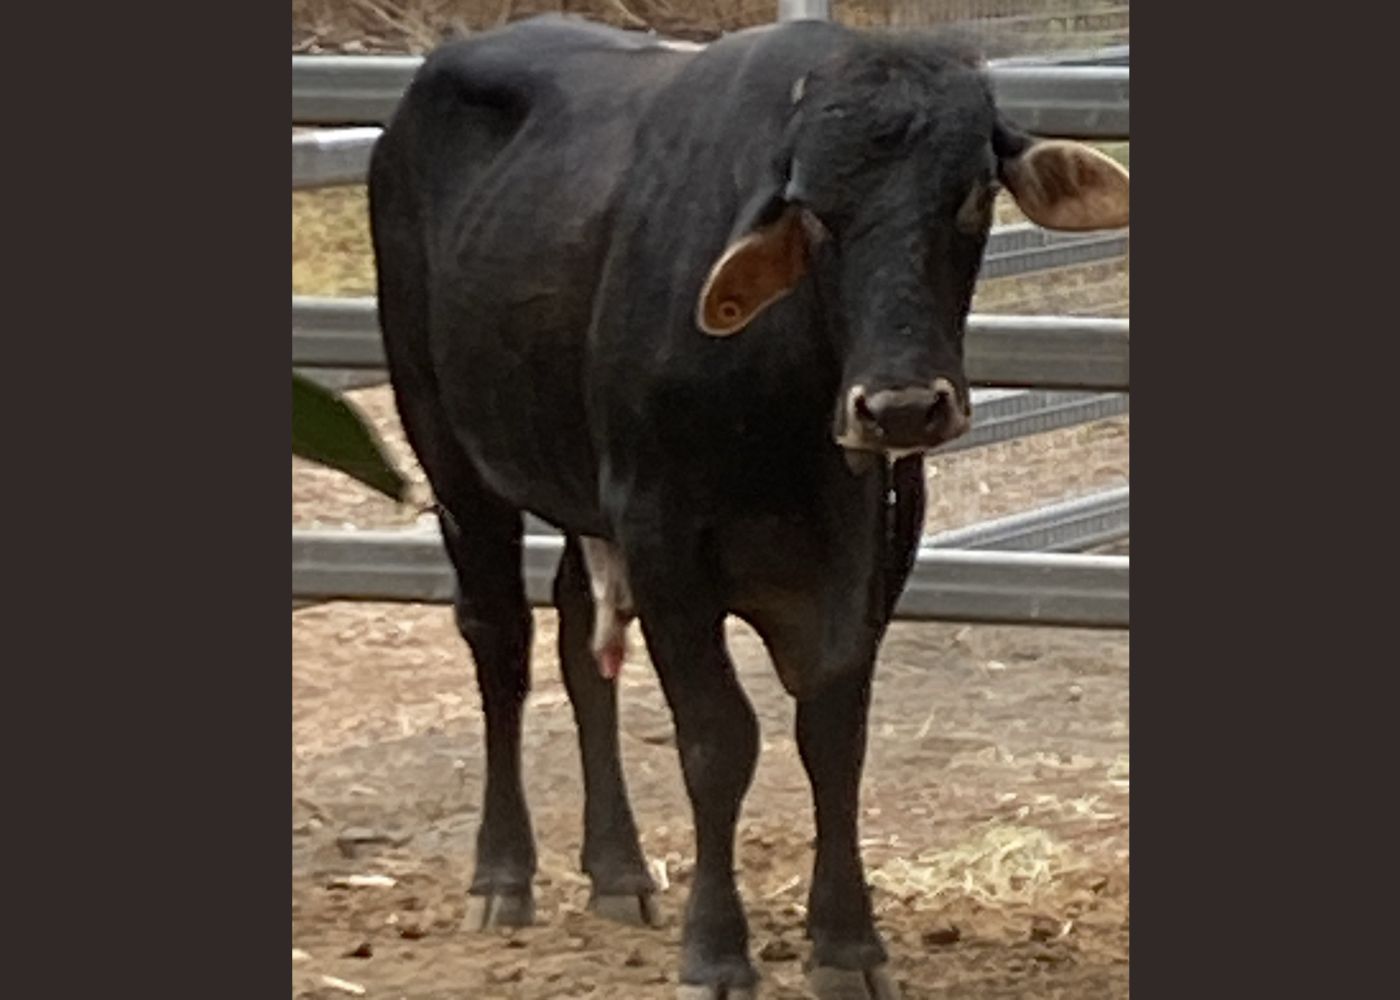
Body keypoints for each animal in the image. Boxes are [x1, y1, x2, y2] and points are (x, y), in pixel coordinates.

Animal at [367, 14, 1128, 1000]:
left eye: (969, 197)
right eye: (811, 209)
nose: (900, 407)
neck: (786, 395)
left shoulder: (877, 544)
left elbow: (834, 736)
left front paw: (847, 944)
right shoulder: (661, 534)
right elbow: (717, 742)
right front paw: (716, 952)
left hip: (578, 488)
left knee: (579, 640)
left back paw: (617, 869)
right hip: (451, 451)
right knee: (502, 642)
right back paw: (502, 875)